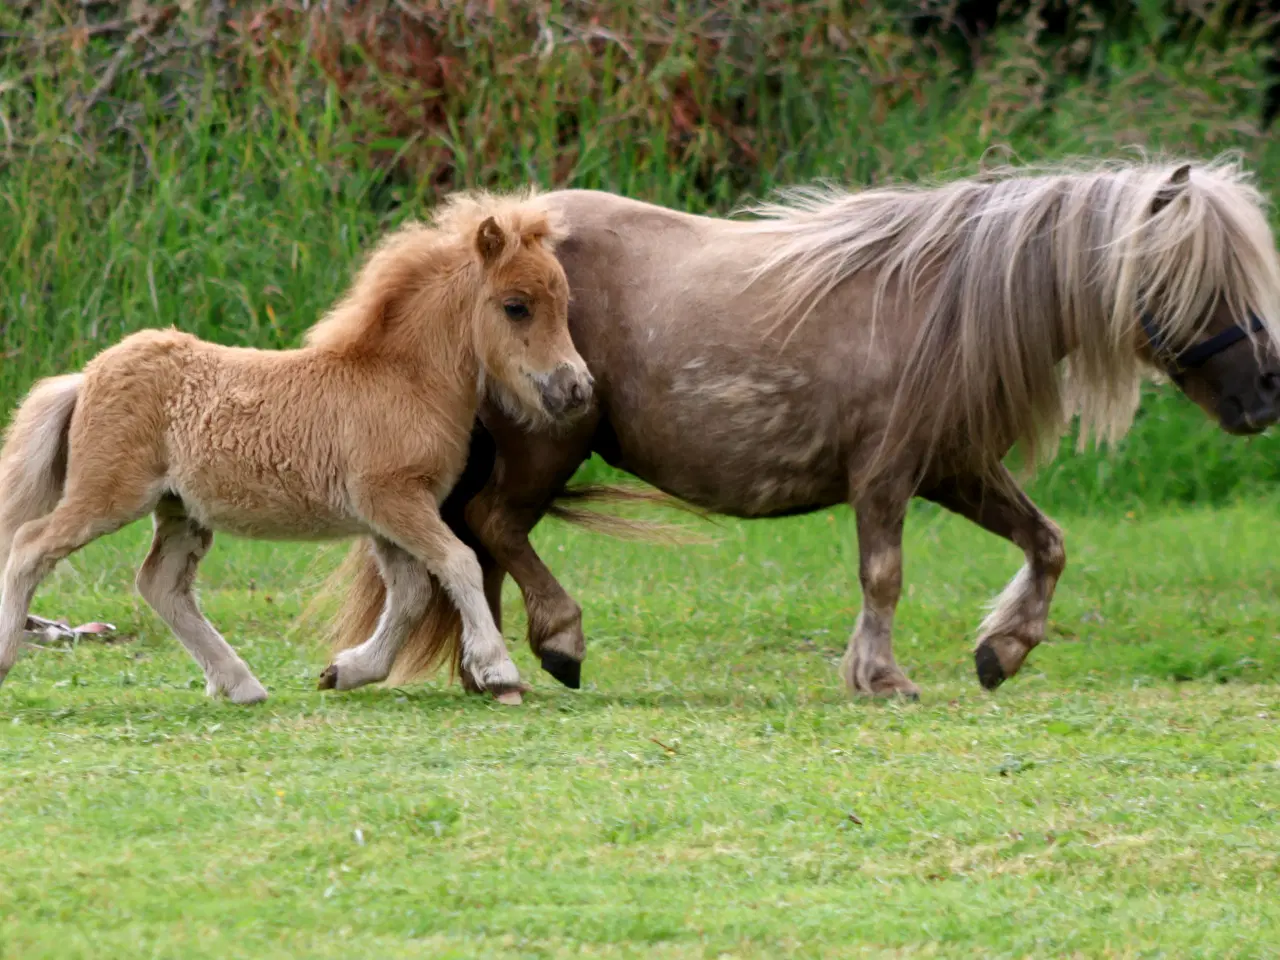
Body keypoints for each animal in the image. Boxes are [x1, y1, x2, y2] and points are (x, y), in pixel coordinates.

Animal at [0, 193, 588, 706]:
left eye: (565, 303)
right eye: (516, 307)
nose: (577, 389)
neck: (402, 380)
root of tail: (86, 376)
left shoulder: (390, 515)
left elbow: (411, 593)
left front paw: (347, 670)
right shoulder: (393, 500)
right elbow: (458, 563)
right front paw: (498, 669)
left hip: (179, 510)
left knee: (161, 584)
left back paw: (240, 684)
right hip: (109, 493)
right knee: (31, 545)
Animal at [327, 156, 1280, 701]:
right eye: (1199, 276)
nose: (1266, 393)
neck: (944, 305)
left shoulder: (956, 468)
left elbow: (1047, 543)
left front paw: (1001, 649)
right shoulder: (887, 475)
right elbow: (884, 574)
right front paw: (883, 676)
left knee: (476, 542)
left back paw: (484, 669)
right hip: (545, 441)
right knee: (493, 528)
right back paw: (552, 643)